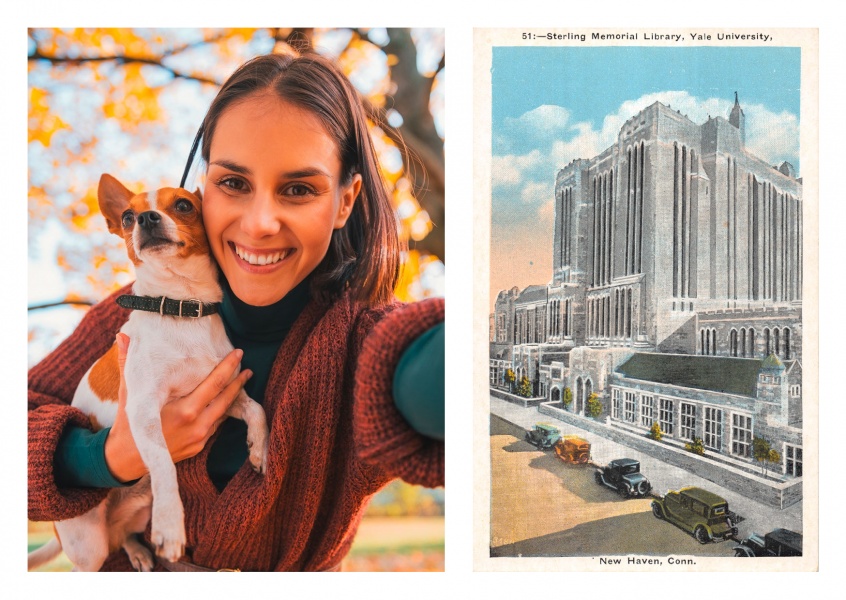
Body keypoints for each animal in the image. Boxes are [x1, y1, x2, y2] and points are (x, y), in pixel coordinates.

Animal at [29, 173, 268, 572]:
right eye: (127, 216)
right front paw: (171, 528)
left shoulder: (224, 394)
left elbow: (257, 409)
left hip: (137, 511)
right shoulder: (143, 412)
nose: (145, 218)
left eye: (184, 205)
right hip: (89, 546)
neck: (181, 306)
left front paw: (260, 449)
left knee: (124, 534)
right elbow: (164, 465)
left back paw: (139, 551)